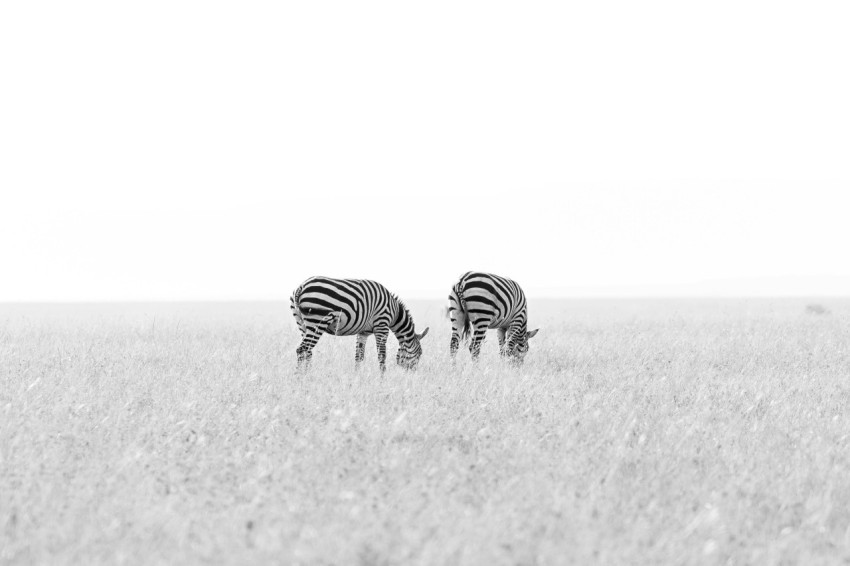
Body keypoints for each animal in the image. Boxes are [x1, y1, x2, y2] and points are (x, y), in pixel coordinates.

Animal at [290, 276, 429, 371]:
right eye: (420, 354)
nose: (413, 375)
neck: (394, 313)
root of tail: (301, 287)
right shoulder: (382, 325)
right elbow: (382, 355)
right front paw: (382, 380)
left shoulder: (363, 332)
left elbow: (359, 356)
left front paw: (357, 377)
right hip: (318, 320)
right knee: (302, 349)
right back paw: (302, 379)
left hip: (302, 324)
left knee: (307, 351)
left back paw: (308, 376)